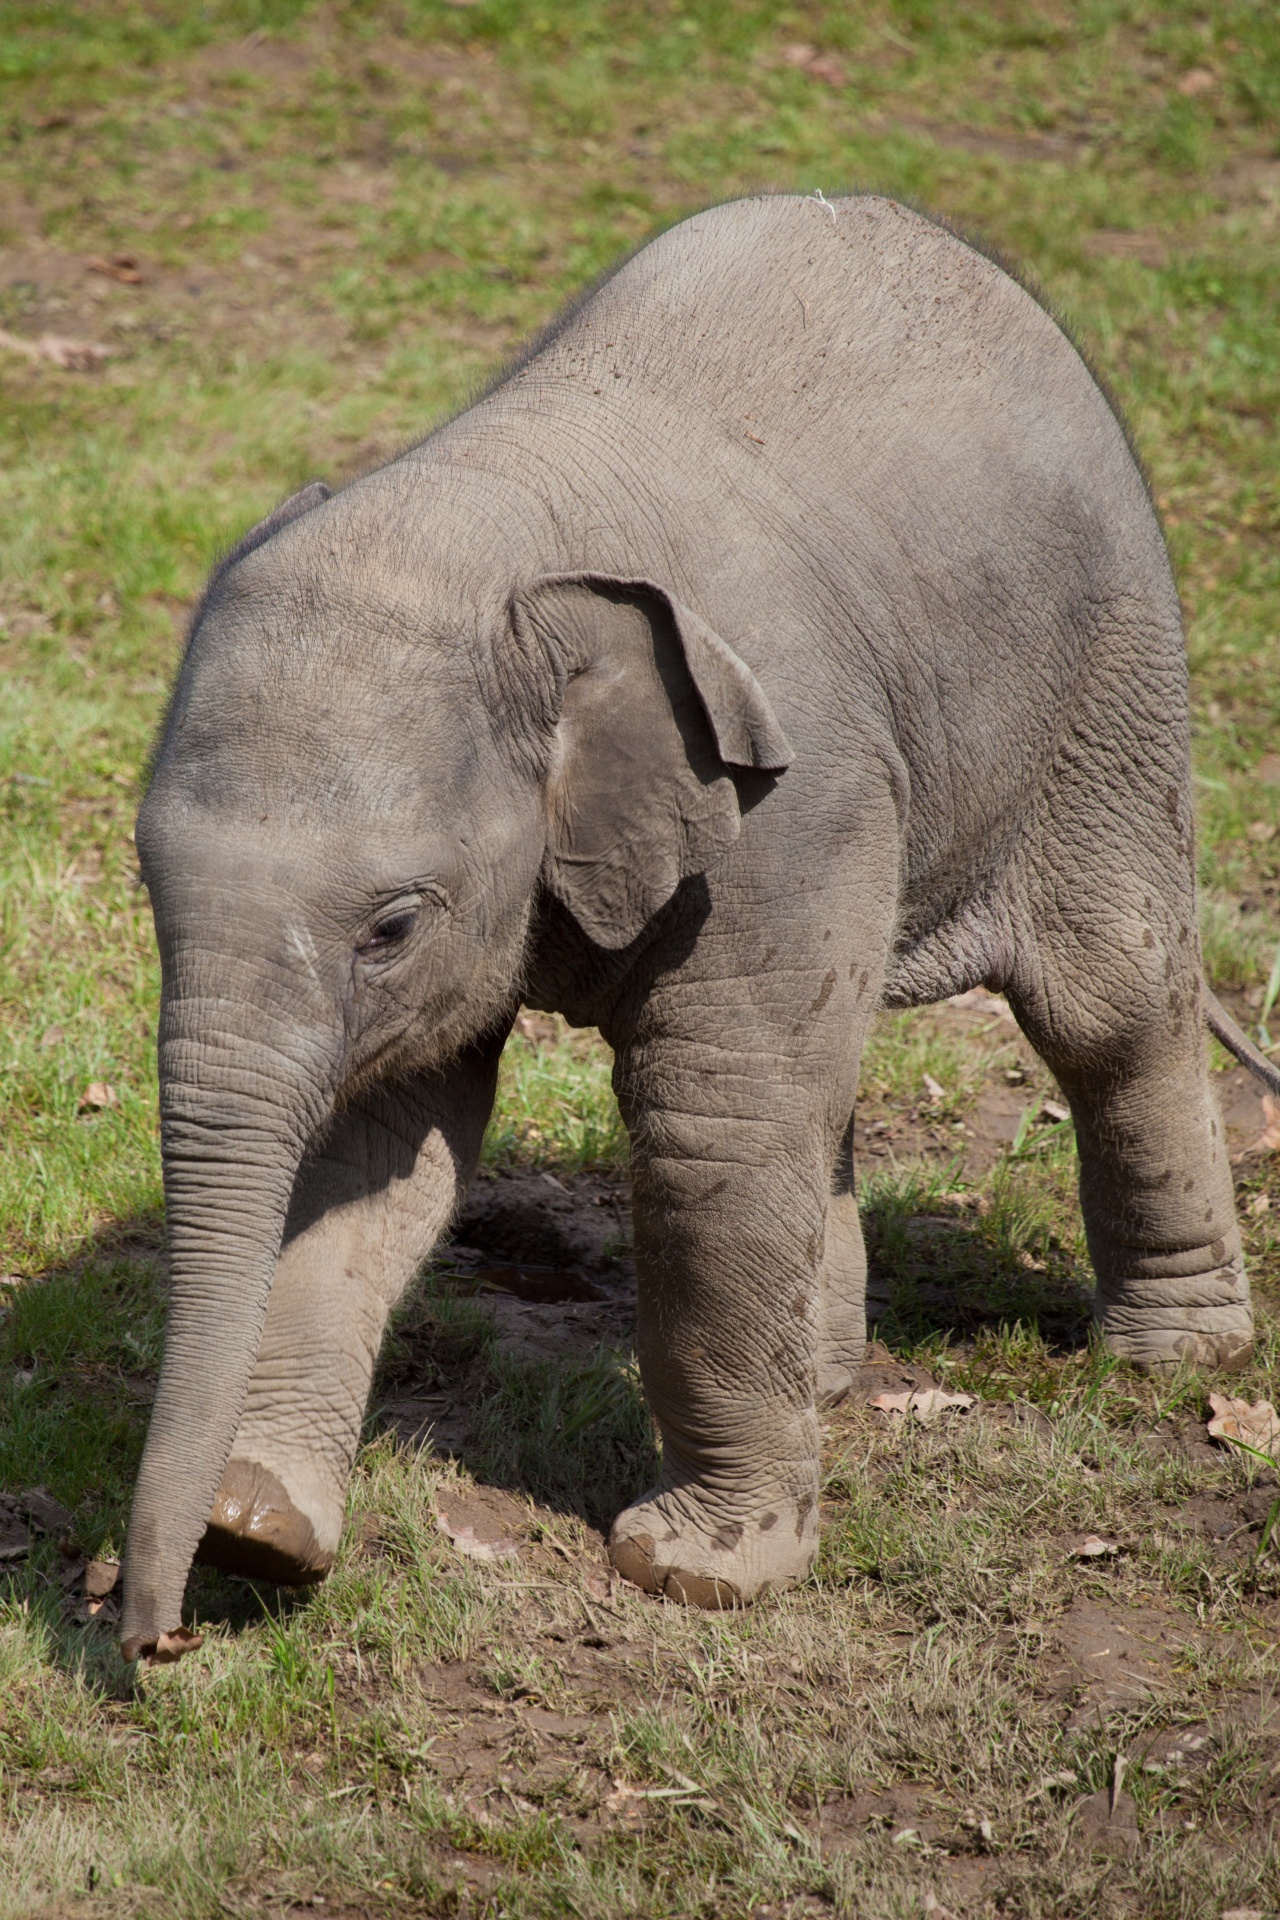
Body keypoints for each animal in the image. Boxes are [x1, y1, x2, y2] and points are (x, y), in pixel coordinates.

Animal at [117, 191, 1274, 1666]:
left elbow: (707, 1121)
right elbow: (378, 1146)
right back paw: (826, 1383)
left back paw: (1172, 1361)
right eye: (147, 883)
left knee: (1106, 1002)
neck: (503, 527)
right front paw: (257, 1533)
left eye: (390, 924)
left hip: (1112, 684)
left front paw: (700, 1573)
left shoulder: (793, 794)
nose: (154, 1643)